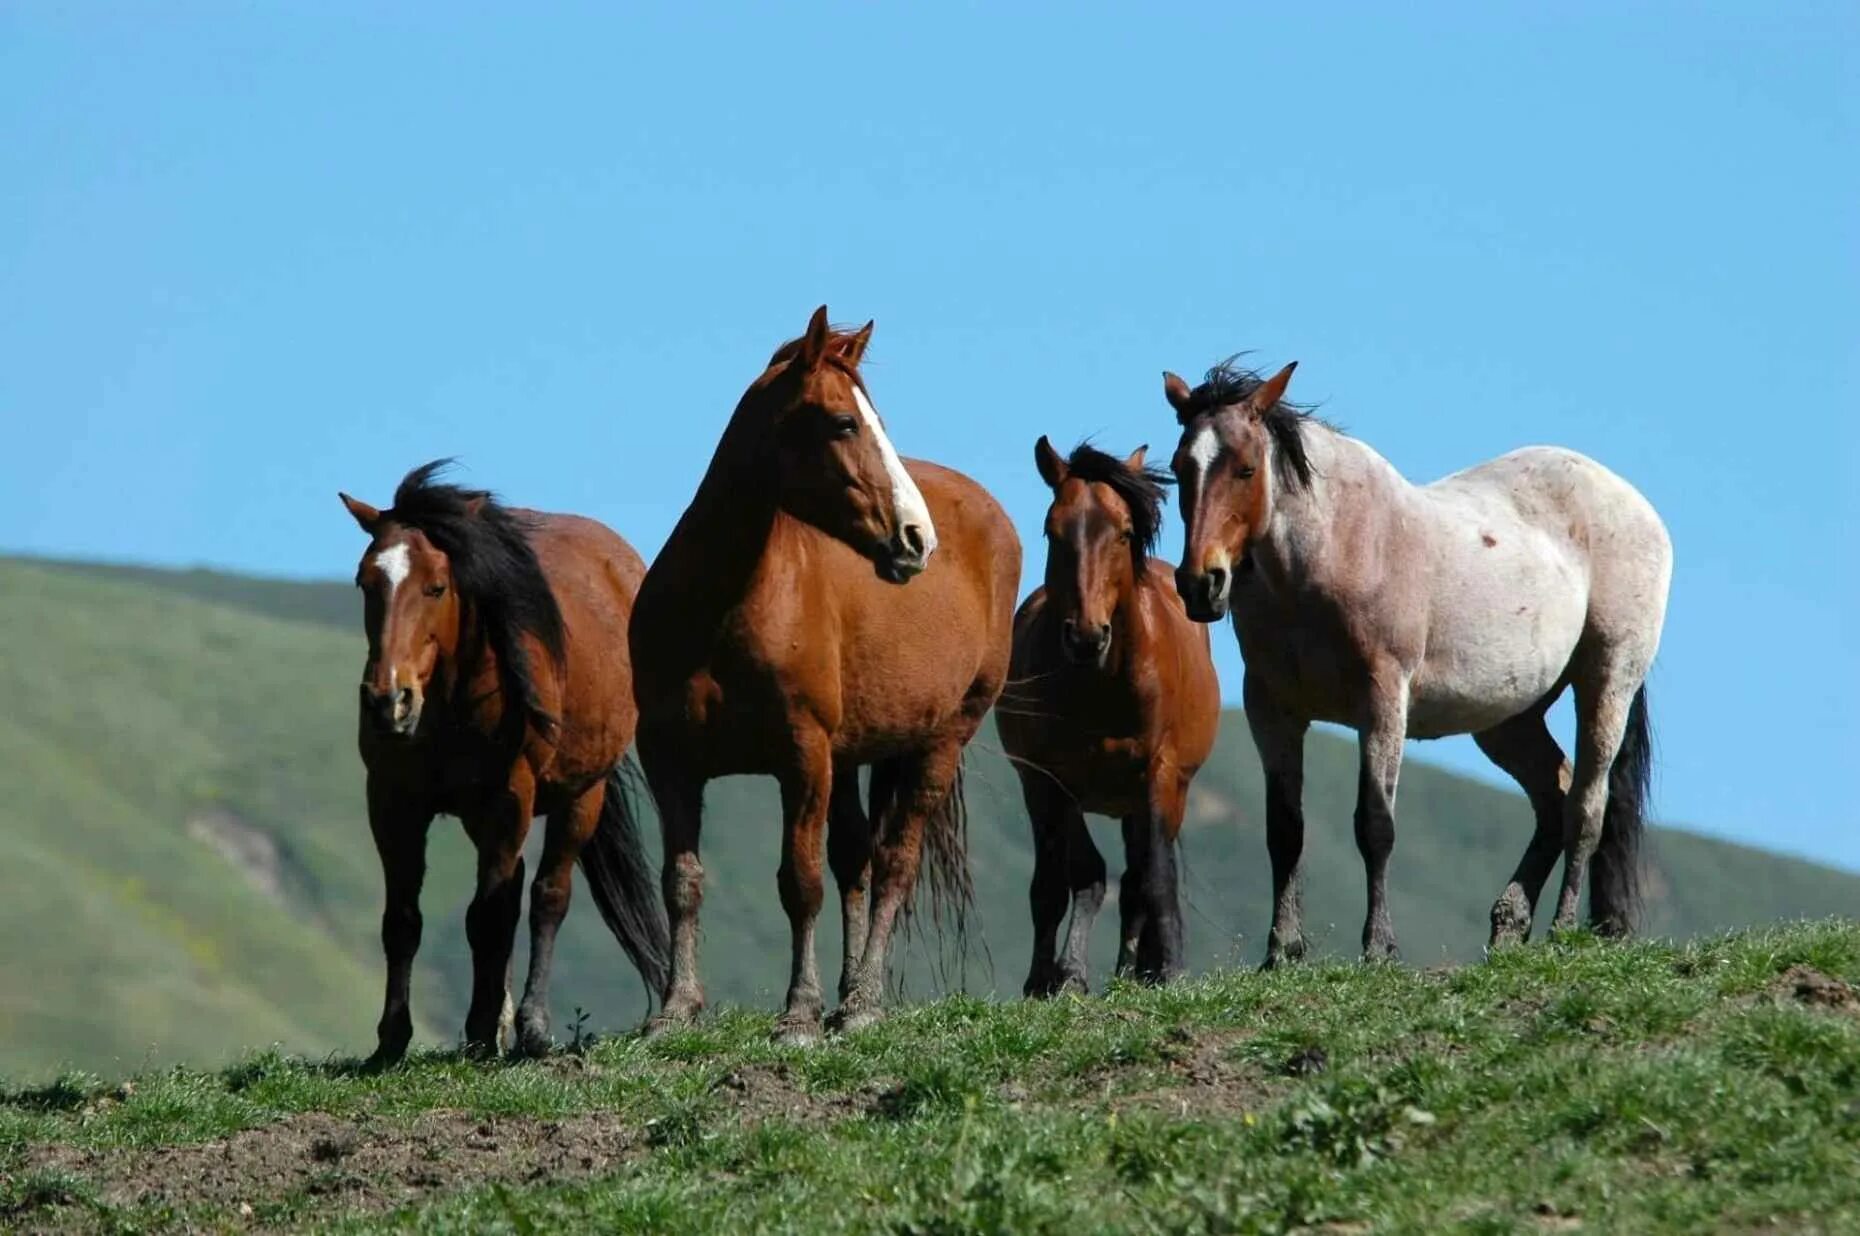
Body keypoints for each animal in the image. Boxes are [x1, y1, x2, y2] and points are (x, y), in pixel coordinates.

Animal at [340, 462, 669, 1063]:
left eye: (437, 586)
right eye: (365, 581)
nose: (387, 700)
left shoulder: (508, 801)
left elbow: (486, 917)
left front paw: (479, 1031)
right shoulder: (393, 804)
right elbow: (403, 921)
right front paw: (391, 1042)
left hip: (578, 798)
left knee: (545, 898)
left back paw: (529, 1027)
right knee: (511, 893)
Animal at [636, 306, 1019, 1040]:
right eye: (845, 423)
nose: (917, 538)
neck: (719, 607)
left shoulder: (802, 757)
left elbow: (800, 883)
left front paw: (800, 1013)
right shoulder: (670, 760)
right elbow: (682, 881)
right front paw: (676, 1009)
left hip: (937, 742)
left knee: (893, 863)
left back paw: (863, 1001)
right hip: (850, 758)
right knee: (857, 863)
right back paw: (849, 992)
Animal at [996, 436, 1227, 996]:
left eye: (1124, 533)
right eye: (1052, 530)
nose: (1086, 635)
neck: (1102, 687)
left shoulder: (1160, 776)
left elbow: (1155, 877)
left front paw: (1168, 968)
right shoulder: (1049, 782)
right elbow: (1068, 879)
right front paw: (1056, 977)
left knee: (1140, 877)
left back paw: (1135, 970)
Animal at [1160, 358, 1674, 966]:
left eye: (1244, 468)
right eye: (1179, 468)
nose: (1201, 583)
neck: (1330, 553)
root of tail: (1636, 506)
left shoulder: (1383, 699)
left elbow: (1375, 825)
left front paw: (1379, 947)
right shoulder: (1272, 708)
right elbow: (1285, 829)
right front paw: (1281, 952)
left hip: (1606, 681)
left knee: (1586, 808)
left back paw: (1561, 930)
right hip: (1509, 718)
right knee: (1555, 796)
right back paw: (1508, 927)